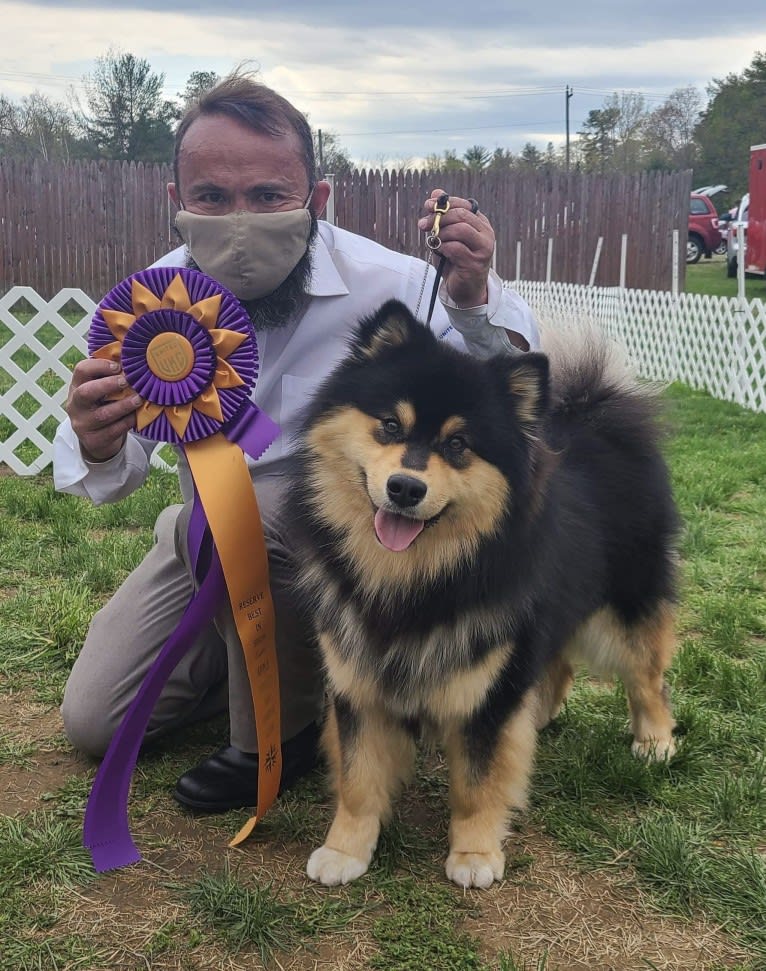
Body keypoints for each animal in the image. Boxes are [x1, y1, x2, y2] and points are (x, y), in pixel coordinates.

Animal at [286, 302, 680, 888]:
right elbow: (358, 780)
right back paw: (538, 718)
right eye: (389, 425)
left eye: (458, 445)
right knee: (557, 665)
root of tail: (594, 414)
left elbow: (477, 783)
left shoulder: (486, 688)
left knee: (646, 677)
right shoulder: (358, 680)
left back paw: (654, 741)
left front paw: (474, 855)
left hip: (625, 606)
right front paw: (345, 850)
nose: (406, 488)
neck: (410, 581)